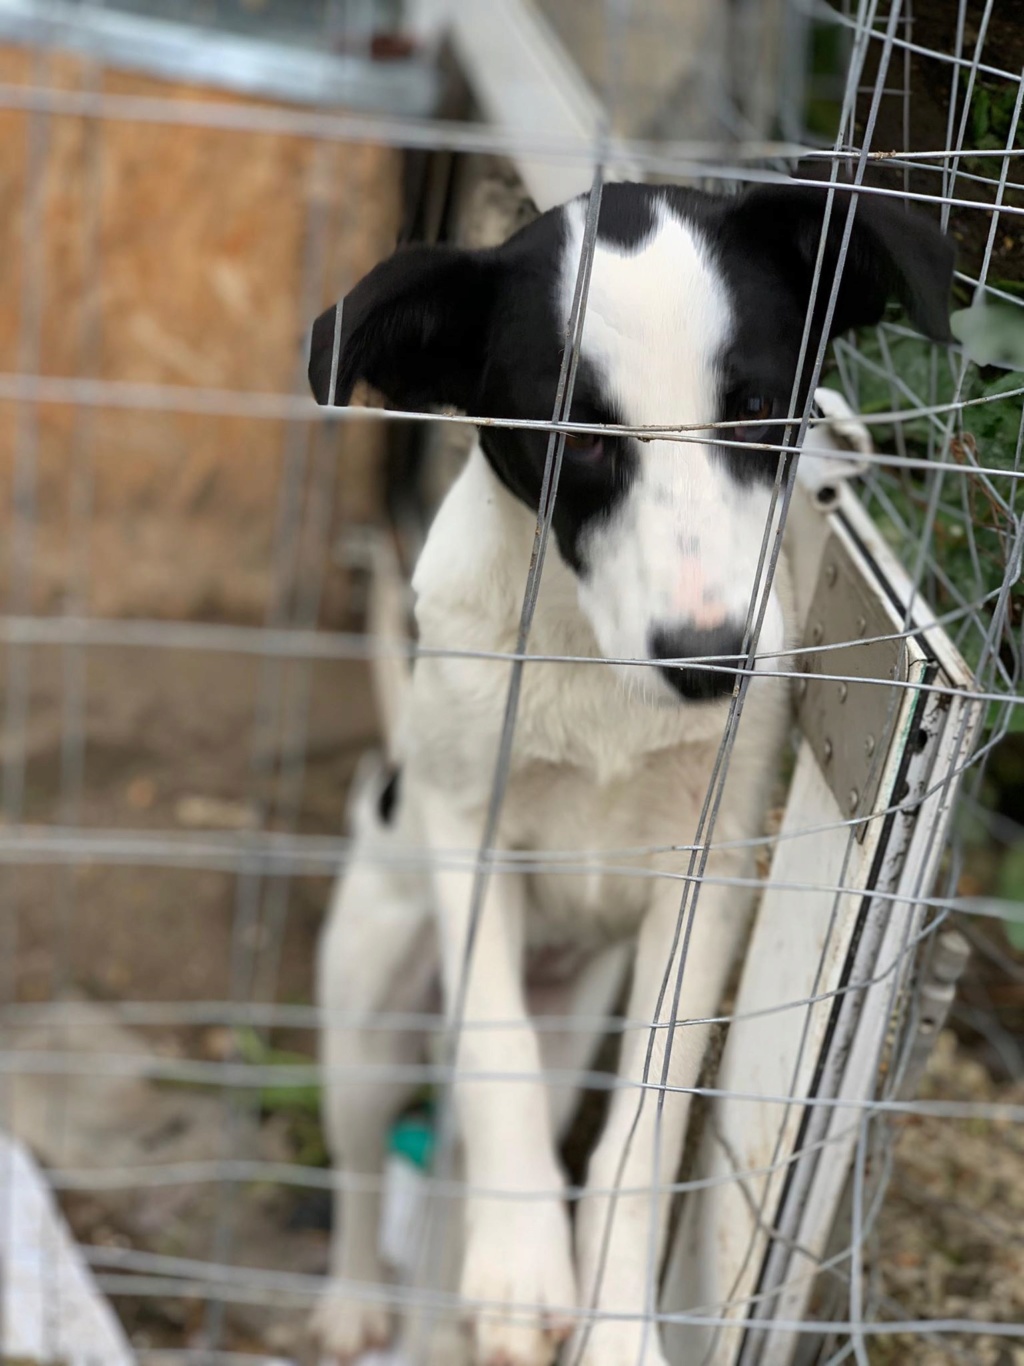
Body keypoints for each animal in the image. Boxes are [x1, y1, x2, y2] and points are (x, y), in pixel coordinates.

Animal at [304, 184, 955, 1366]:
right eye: (576, 446)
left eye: (758, 410)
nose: (709, 662)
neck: (590, 662)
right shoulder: (468, 834)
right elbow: (497, 1054)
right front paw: (523, 1270)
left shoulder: (707, 879)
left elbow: (642, 1131)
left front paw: (612, 1324)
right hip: (371, 1006)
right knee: (370, 1150)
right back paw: (358, 1298)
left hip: (572, 1015)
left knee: (467, 1150)